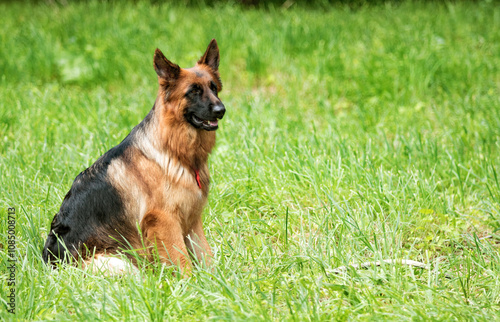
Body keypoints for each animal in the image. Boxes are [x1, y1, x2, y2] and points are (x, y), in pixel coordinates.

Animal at [42, 38, 226, 274]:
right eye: (193, 91)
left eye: (214, 88)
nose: (221, 110)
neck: (174, 152)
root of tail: (51, 265)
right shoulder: (164, 221)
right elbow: (182, 262)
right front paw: (191, 283)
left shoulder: (192, 222)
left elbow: (206, 256)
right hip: (120, 264)